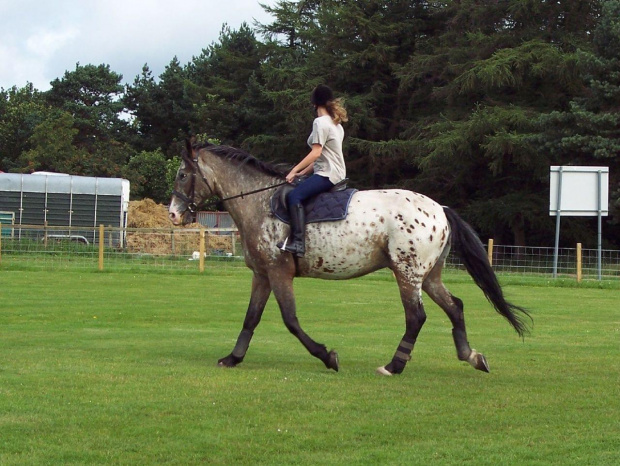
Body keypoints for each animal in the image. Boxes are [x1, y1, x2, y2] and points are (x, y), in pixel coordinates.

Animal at [170, 141, 532, 374]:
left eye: (181, 175)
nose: (173, 214)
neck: (259, 203)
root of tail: (440, 209)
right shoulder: (262, 274)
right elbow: (251, 318)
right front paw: (233, 358)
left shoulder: (278, 272)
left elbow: (290, 320)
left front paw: (327, 356)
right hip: (429, 276)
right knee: (455, 307)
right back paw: (471, 356)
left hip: (407, 273)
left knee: (416, 317)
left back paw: (394, 365)